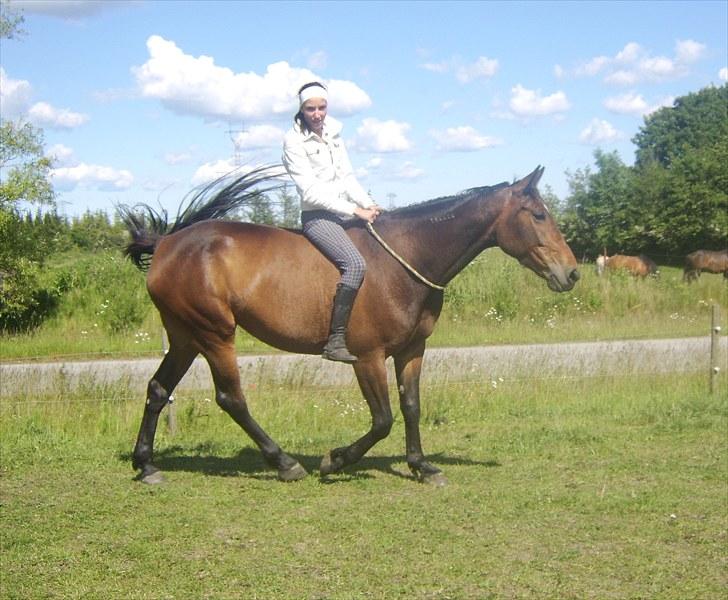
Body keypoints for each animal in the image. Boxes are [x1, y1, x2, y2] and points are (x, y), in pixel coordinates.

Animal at [122, 165, 580, 488]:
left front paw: (422, 466)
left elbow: (411, 407)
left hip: (185, 336)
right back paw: (285, 463)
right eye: (538, 215)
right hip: (215, 335)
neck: (404, 261)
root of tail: (167, 243)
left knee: (158, 389)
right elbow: (383, 420)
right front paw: (335, 460)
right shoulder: (368, 358)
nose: (572, 273)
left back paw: (146, 465)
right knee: (231, 398)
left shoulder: (412, 351)